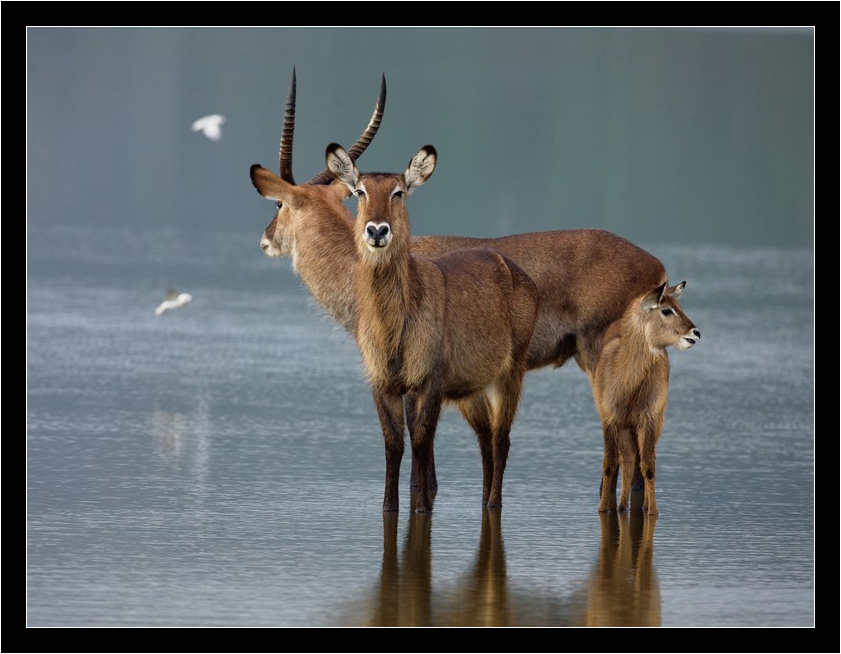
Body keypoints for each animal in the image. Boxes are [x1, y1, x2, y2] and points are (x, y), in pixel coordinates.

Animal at [322, 142, 540, 512]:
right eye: (360, 192)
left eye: (398, 192)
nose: (377, 230)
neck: (393, 329)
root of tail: (517, 271)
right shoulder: (382, 382)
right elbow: (393, 445)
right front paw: (390, 506)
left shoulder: (430, 380)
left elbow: (422, 442)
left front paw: (423, 506)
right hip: (471, 388)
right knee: (485, 438)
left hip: (510, 373)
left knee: (501, 439)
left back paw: (493, 502)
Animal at [592, 282, 700, 516]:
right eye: (666, 310)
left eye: (680, 306)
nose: (695, 332)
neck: (629, 387)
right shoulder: (610, 421)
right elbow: (609, 465)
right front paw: (603, 509)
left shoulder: (648, 421)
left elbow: (648, 467)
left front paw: (652, 512)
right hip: (625, 428)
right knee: (628, 460)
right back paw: (622, 506)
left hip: (652, 423)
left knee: (636, 460)